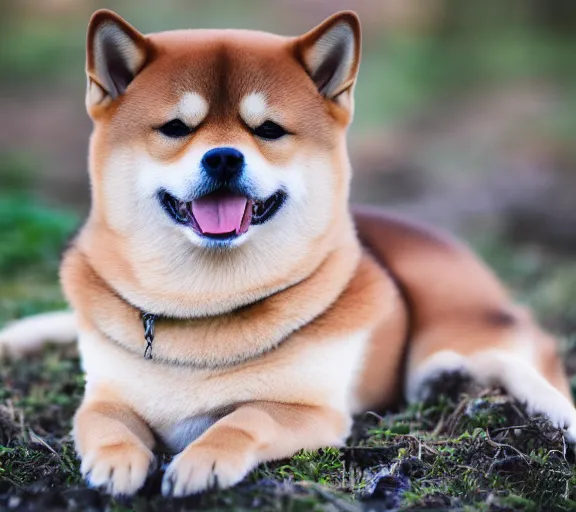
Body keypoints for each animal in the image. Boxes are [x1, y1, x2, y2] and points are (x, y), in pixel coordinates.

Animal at [1, 8, 576, 498]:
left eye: (270, 130)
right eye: (176, 128)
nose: (224, 158)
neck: (201, 307)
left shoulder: (310, 412)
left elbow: (244, 418)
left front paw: (202, 460)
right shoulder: (108, 393)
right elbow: (100, 420)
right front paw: (117, 460)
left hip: (455, 323)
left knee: (520, 360)